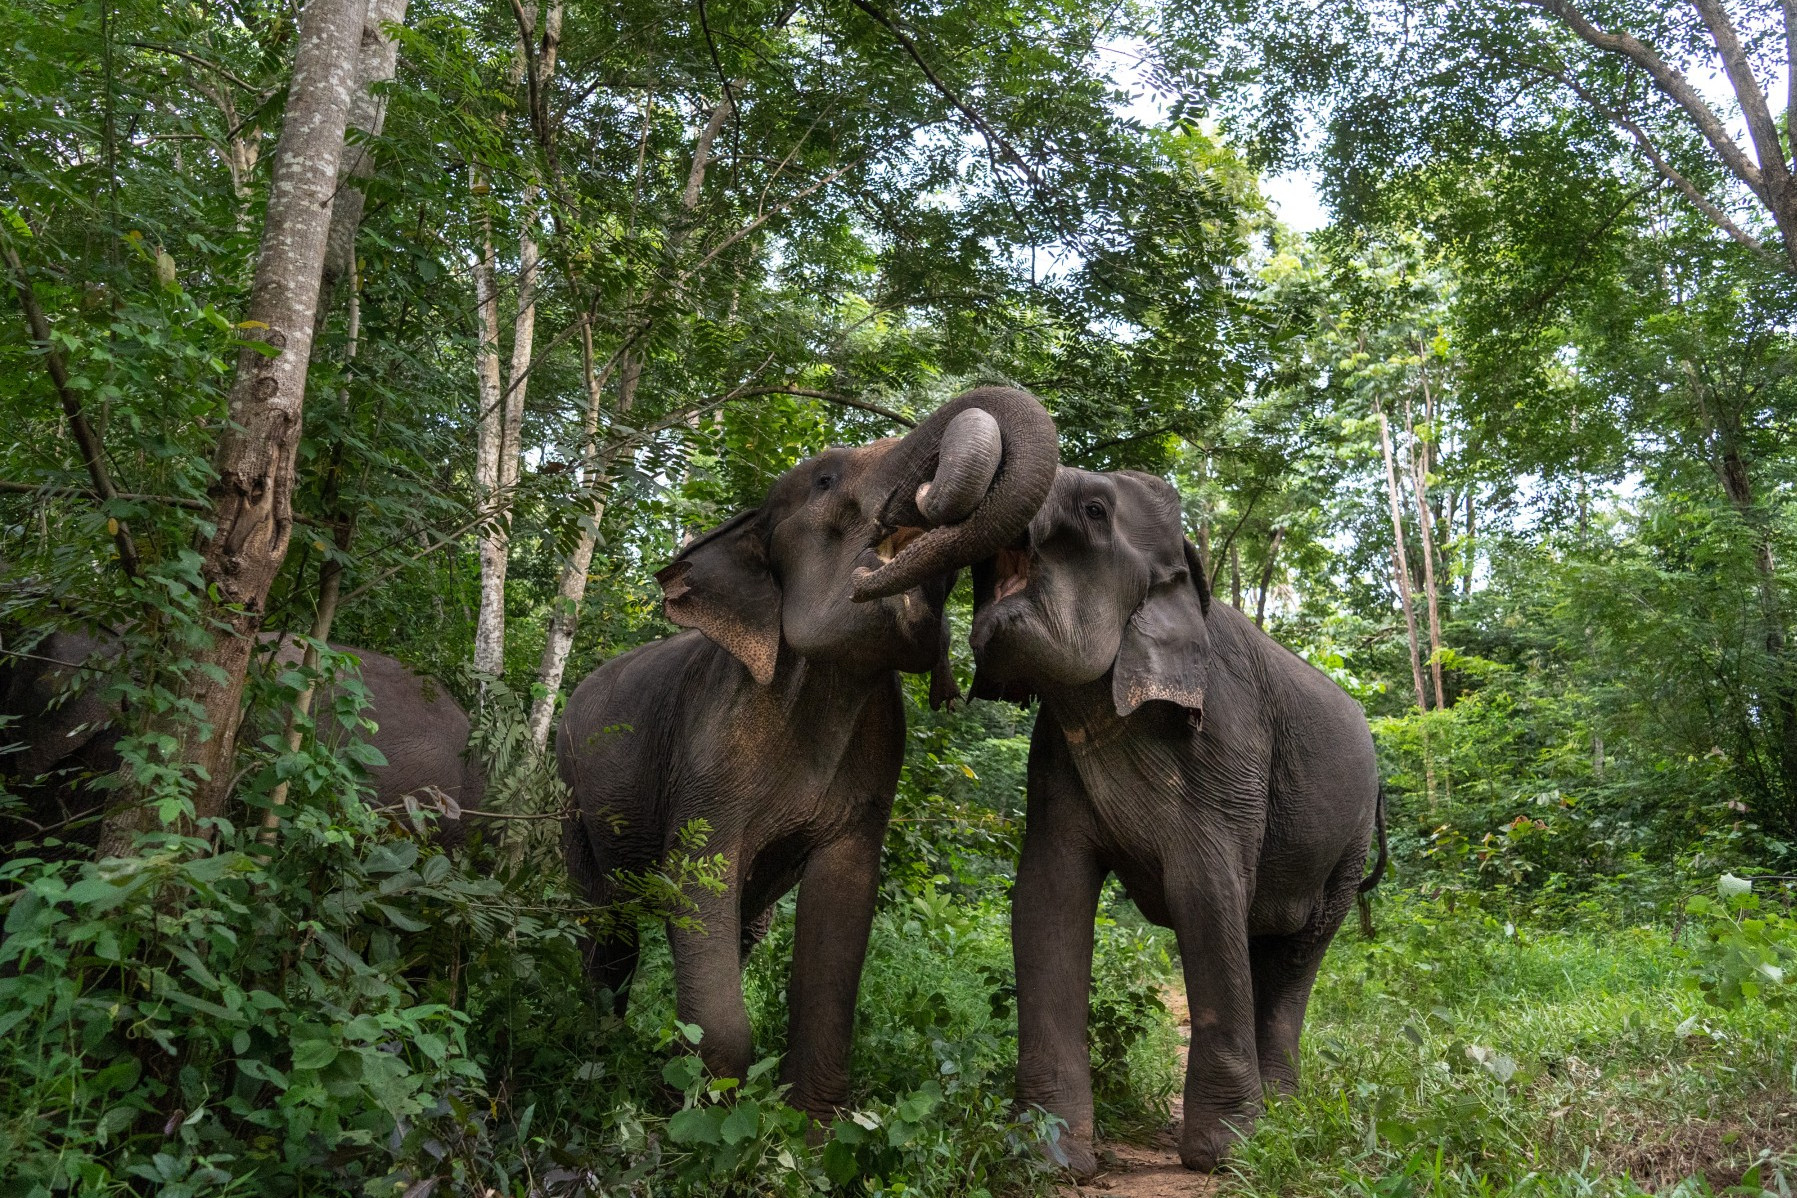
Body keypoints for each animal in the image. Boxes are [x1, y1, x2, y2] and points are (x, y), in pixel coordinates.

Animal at [560, 389, 1056, 1120]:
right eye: (824, 480)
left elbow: (841, 904)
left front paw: (811, 1124)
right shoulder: (710, 748)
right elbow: (695, 881)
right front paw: (700, 1112)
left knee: (738, 929)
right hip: (570, 793)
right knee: (607, 925)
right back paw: (598, 1052)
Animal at [970, 466, 1387, 1171]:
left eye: (1093, 509)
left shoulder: (1227, 749)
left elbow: (1206, 895)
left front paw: (1225, 1156)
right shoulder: (1049, 764)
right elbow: (1046, 899)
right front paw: (1048, 1160)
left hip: (1349, 839)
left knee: (1298, 949)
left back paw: (1281, 1119)